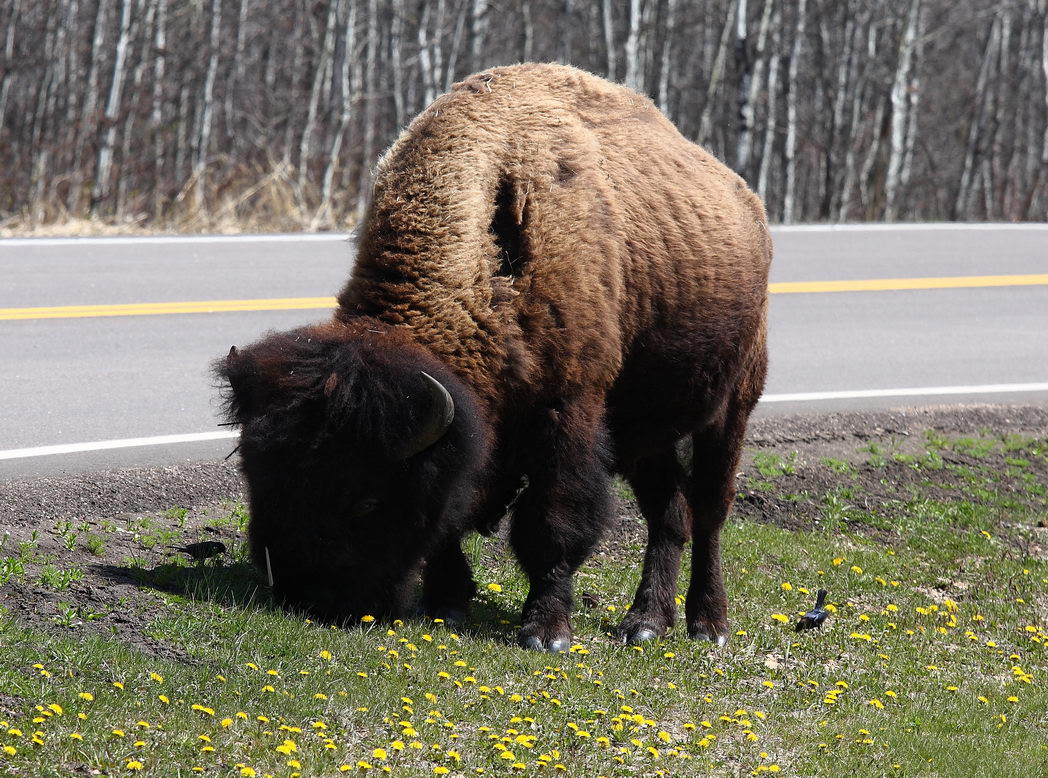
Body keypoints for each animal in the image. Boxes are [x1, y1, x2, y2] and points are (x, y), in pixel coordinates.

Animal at [214, 62, 771, 650]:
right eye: (256, 477)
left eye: (367, 500)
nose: (305, 597)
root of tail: (748, 202)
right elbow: (451, 518)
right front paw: (447, 605)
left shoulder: (569, 408)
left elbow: (553, 521)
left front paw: (546, 632)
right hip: (643, 431)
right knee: (669, 512)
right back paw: (643, 623)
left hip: (734, 401)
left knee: (709, 508)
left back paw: (707, 624)